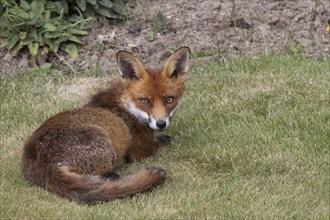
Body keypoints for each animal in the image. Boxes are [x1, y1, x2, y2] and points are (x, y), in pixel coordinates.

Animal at [21, 46, 191, 205]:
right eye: (144, 101)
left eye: (169, 99)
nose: (161, 123)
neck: (126, 107)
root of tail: (45, 162)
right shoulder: (141, 151)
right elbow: (163, 142)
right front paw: (165, 138)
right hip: (104, 145)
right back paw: (111, 176)